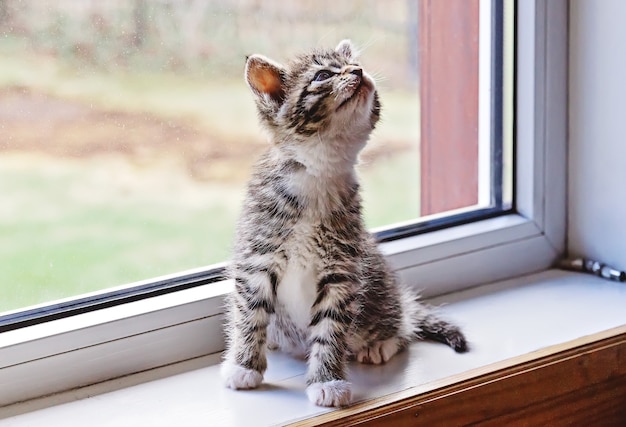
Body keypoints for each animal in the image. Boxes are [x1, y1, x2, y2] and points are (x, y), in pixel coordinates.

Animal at [219, 39, 464, 408]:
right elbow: (250, 314)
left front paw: (327, 380)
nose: (358, 71)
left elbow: (331, 329)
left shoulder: (341, 271)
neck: (318, 175)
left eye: (355, 65)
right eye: (323, 75)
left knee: (400, 324)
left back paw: (381, 342)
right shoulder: (256, 258)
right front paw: (244, 365)